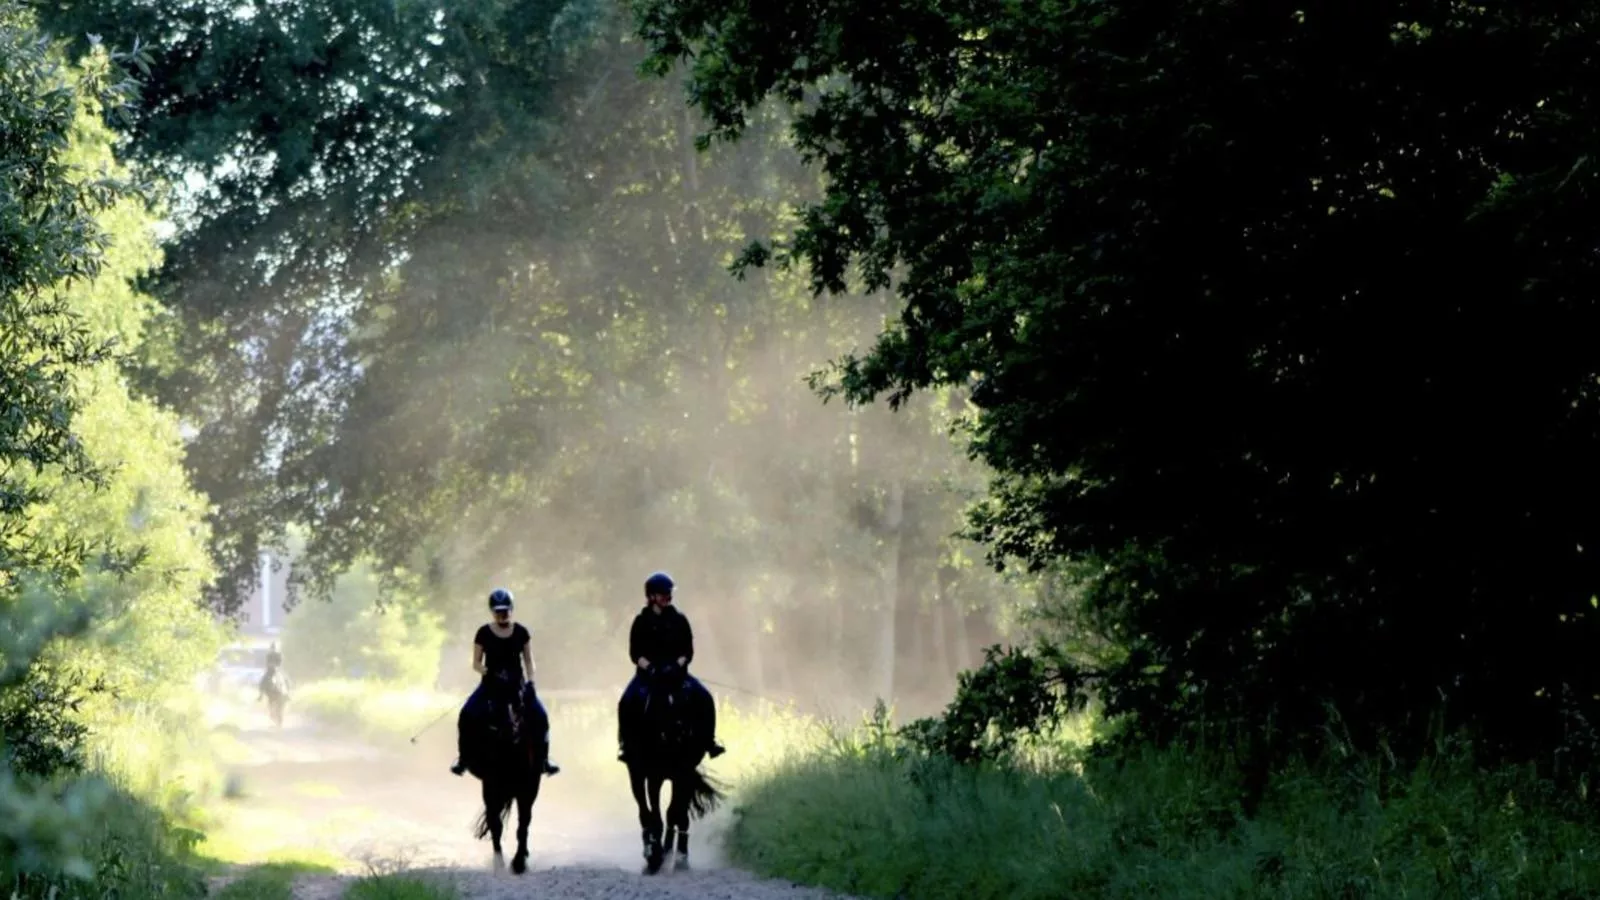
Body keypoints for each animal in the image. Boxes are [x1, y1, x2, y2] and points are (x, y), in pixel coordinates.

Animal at [464, 672, 550, 871]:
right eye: (492, 703)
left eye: (519, 701)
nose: (508, 728)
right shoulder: (491, 785)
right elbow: (496, 824)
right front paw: (500, 862)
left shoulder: (529, 787)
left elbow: (524, 822)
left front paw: (519, 862)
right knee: (493, 818)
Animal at [624, 659, 726, 871]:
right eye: (660, 703)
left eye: (683, 701)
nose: (680, 729)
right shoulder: (652, 776)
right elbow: (654, 814)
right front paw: (656, 854)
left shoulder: (683, 774)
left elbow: (675, 814)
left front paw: (677, 855)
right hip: (640, 773)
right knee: (645, 810)